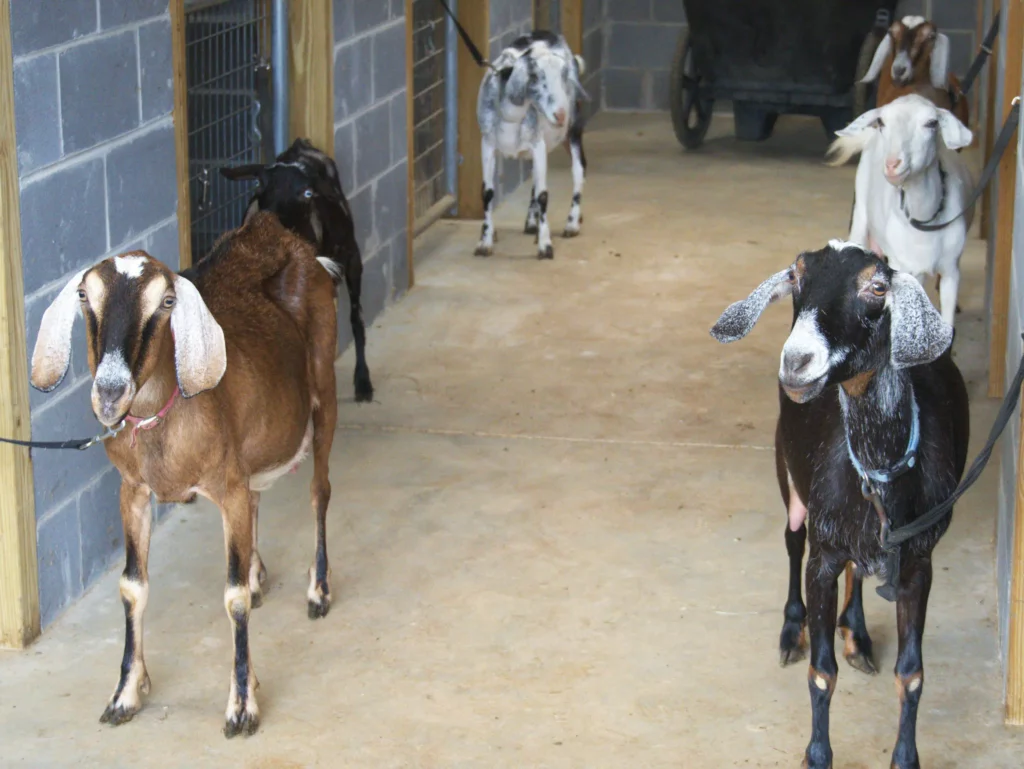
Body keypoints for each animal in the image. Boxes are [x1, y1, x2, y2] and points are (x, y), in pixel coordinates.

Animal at [30, 212, 340, 737]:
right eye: (84, 296)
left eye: (167, 301)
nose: (110, 392)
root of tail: (278, 233)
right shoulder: (132, 490)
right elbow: (132, 586)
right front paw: (125, 693)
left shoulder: (227, 486)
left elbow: (232, 597)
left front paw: (242, 705)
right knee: (260, 497)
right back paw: (258, 573)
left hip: (325, 390)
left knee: (320, 491)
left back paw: (318, 590)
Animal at [221, 138, 373, 402]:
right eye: (258, 184)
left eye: (307, 193)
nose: (269, 225)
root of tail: (300, 146)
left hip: (352, 257)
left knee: (356, 317)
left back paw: (363, 382)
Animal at [475, 31, 587, 260]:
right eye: (534, 77)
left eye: (564, 77)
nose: (560, 115)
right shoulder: (487, 144)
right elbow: (487, 192)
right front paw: (485, 241)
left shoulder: (538, 145)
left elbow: (543, 195)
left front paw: (545, 246)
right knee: (536, 180)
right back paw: (532, 222)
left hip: (573, 131)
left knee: (579, 170)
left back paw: (572, 224)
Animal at [711, 241, 969, 769]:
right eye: (795, 276)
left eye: (878, 288)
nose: (796, 362)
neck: (876, 473)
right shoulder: (824, 555)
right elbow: (821, 672)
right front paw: (816, 755)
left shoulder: (919, 562)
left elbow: (912, 673)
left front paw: (905, 758)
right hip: (786, 469)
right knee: (792, 539)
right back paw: (793, 629)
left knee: (858, 569)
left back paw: (858, 632)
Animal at [827, 94, 974, 327]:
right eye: (881, 122)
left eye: (932, 123)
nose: (892, 165)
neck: (924, 220)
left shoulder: (951, 270)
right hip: (860, 213)